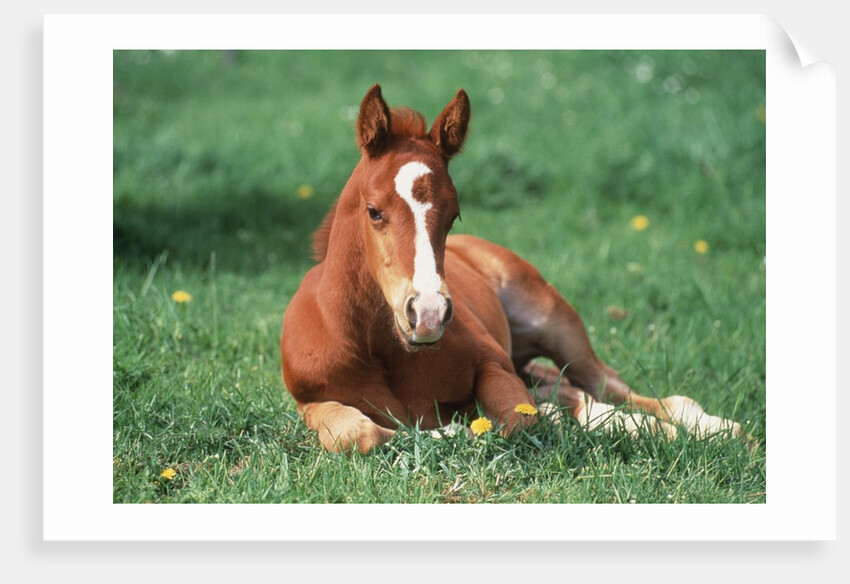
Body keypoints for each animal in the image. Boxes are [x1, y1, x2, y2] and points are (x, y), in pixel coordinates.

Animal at [280, 84, 742, 454]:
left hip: (555, 322)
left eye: (453, 215)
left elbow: (515, 417)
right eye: (374, 212)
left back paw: (717, 428)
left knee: (612, 386)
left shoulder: (494, 363)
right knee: (568, 389)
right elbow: (356, 434)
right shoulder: (310, 401)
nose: (428, 314)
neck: (382, 349)